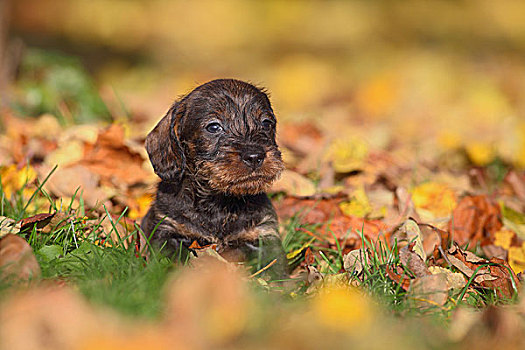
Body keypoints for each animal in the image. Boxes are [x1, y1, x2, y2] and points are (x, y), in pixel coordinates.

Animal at [141, 79, 284, 276]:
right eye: (213, 127)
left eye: (266, 123)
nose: (255, 156)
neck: (219, 203)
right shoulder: (167, 229)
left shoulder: (264, 234)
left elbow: (274, 268)